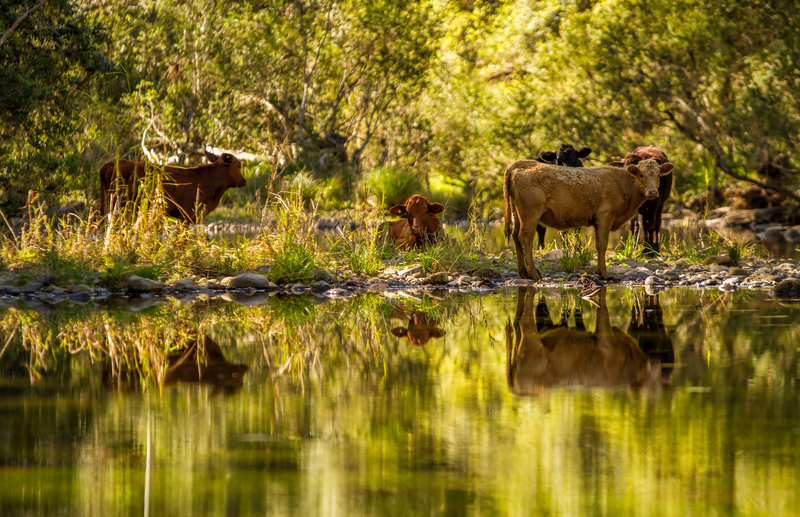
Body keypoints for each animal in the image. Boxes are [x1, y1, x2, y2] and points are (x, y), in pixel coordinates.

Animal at [504, 158, 674, 280]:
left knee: (516, 237)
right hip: (530, 214)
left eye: (658, 175)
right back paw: (533, 274)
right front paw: (604, 274)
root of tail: (520, 164)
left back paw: (523, 272)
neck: (623, 185)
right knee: (525, 238)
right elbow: (602, 245)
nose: (652, 192)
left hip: (517, 214)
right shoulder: (605, 216)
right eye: (641, 175)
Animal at [505, 287, 666, 394]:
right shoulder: (606, 341)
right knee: (524, 322)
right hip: (533, 345)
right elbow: (603, 311)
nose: (656, 363)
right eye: (649, 384)